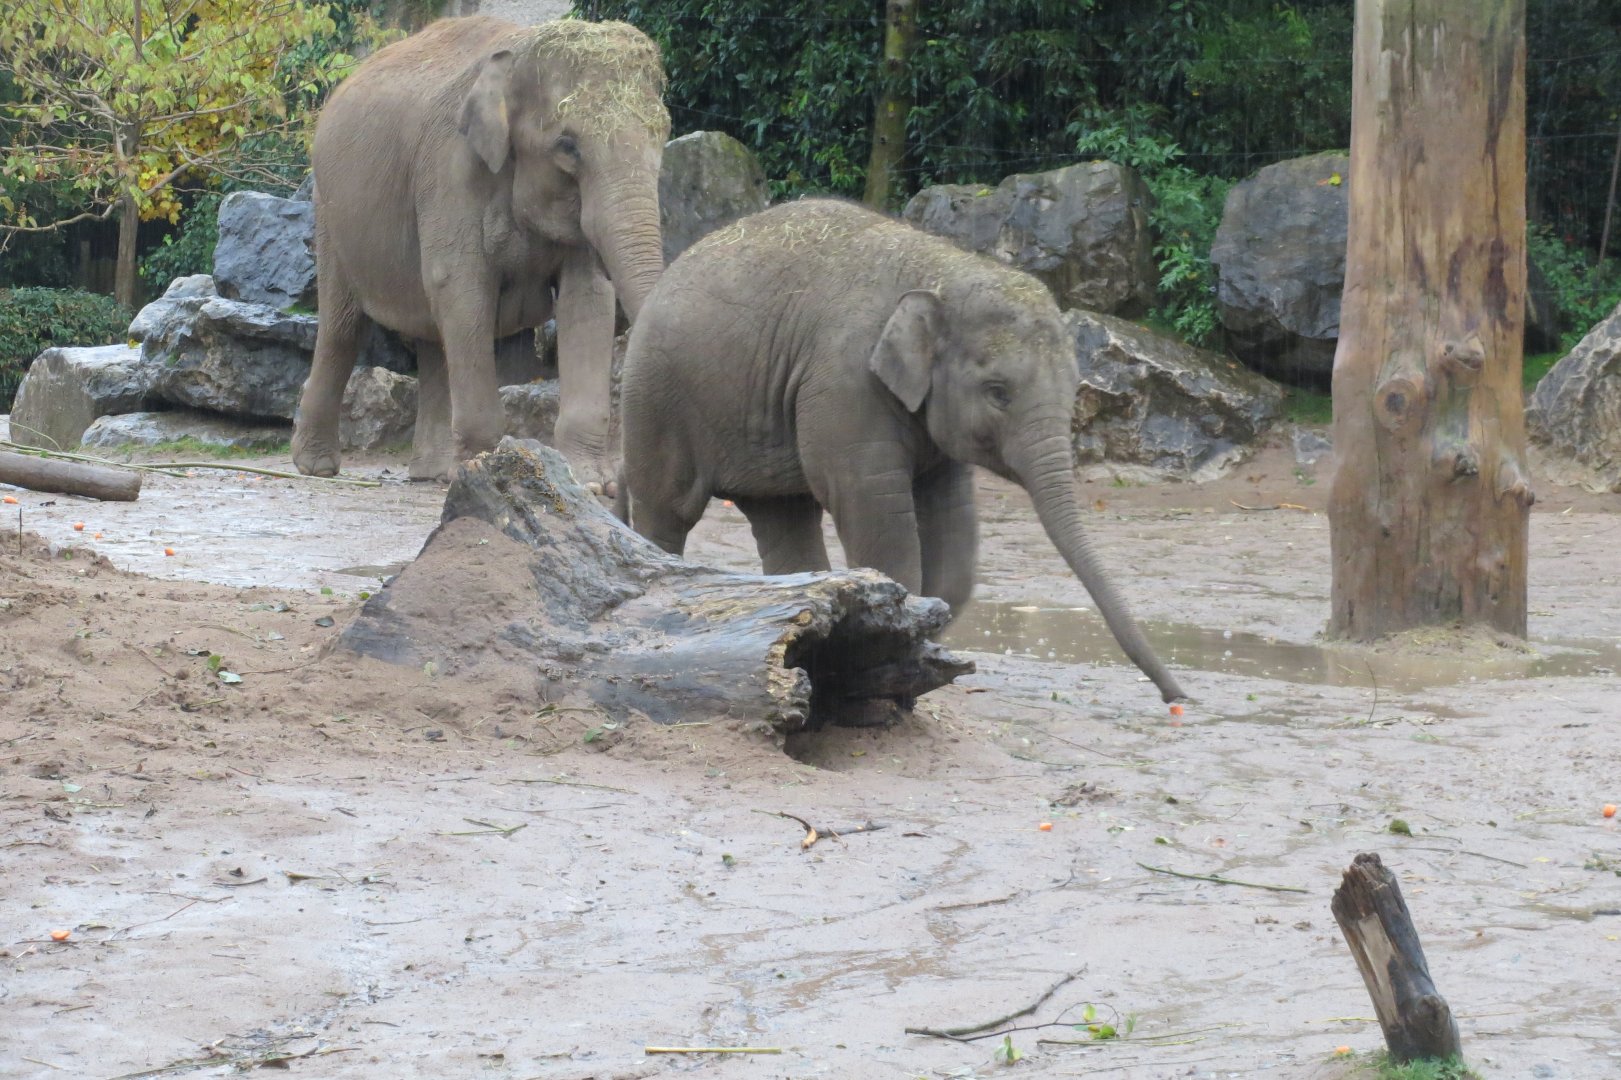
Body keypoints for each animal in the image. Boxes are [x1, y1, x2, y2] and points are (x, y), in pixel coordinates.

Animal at [291, 16, 669, 487]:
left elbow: (588, 297)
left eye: (664, 134)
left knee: (432, 336)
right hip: (328, 215)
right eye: (568, 146)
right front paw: (484, 468)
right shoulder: (450, 171)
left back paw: (432, 474)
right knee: (342, 327)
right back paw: (317, 467)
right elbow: (460, 288)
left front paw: (589, 481)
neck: (520, 52)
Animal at [619, 199, 1185, 703]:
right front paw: (892, 634)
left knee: (784, 515)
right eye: (998, 392)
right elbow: (872, 507)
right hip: (656, 399)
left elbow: (951, 526)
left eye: (1073, 388)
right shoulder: (845, 383)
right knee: (667, 511)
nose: (1176, 698)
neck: (942, 271)